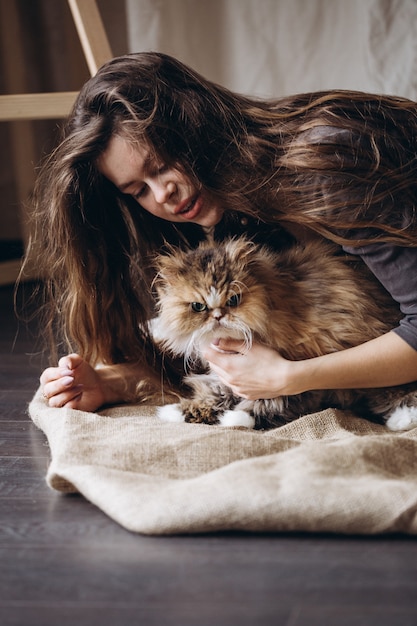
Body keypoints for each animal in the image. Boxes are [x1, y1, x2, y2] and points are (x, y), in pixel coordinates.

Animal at [152, 235, 416, 428]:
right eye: (198, 307)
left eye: (234, 299)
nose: (218, 316)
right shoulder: (226, 377)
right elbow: (217, 392)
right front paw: (180, 411)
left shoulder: (293, 368)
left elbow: (271, 400)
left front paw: (236, 418)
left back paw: (403, 419)